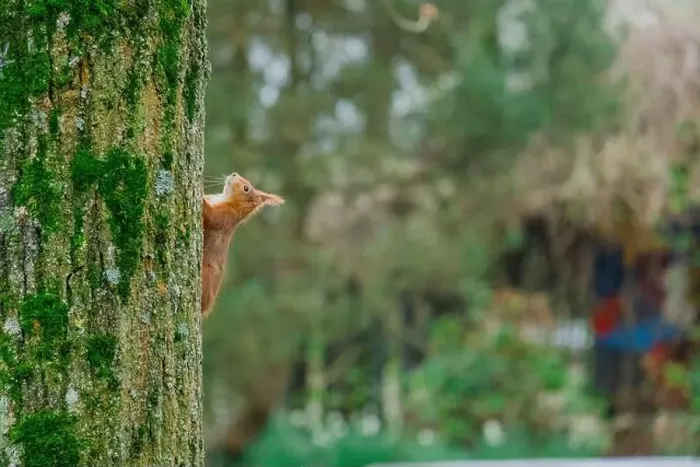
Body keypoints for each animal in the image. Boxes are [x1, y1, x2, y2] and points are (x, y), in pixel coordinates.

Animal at [202, 172, 284, 317]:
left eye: (246, 188)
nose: (234, 173)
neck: (224, 199)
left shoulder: (225, 217)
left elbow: (211, 217)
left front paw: (202, 200)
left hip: (207, 275)